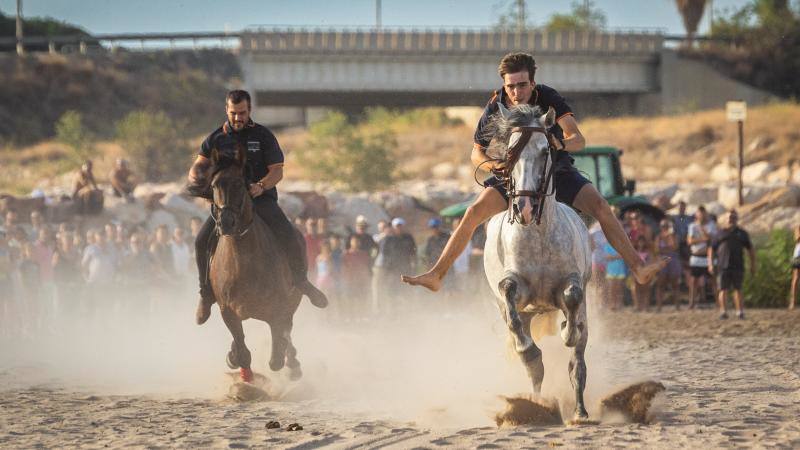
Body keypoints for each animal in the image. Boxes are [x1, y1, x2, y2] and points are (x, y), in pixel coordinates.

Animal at [209, 146, 304, 382]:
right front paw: (238, 364)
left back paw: (294, 364)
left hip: (293, 299)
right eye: (214, 185)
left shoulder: (277, 310)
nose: (226, 222)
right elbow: (242, 348)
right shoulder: (228, 311)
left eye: (239, 184)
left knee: (287, 333)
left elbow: (276, 357)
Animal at [484, 103, 592, 420]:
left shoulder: (571, 284)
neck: (539, 235)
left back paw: (580, 411)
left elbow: (572, 296)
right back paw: (536, 403)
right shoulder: (516, 290)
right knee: (531, 364)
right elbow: (508, 292)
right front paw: (530, 352)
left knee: (577, 365)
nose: (526, 207)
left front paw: (568, 330)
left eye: (546, 151)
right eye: (510, 153)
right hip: (525, 312)